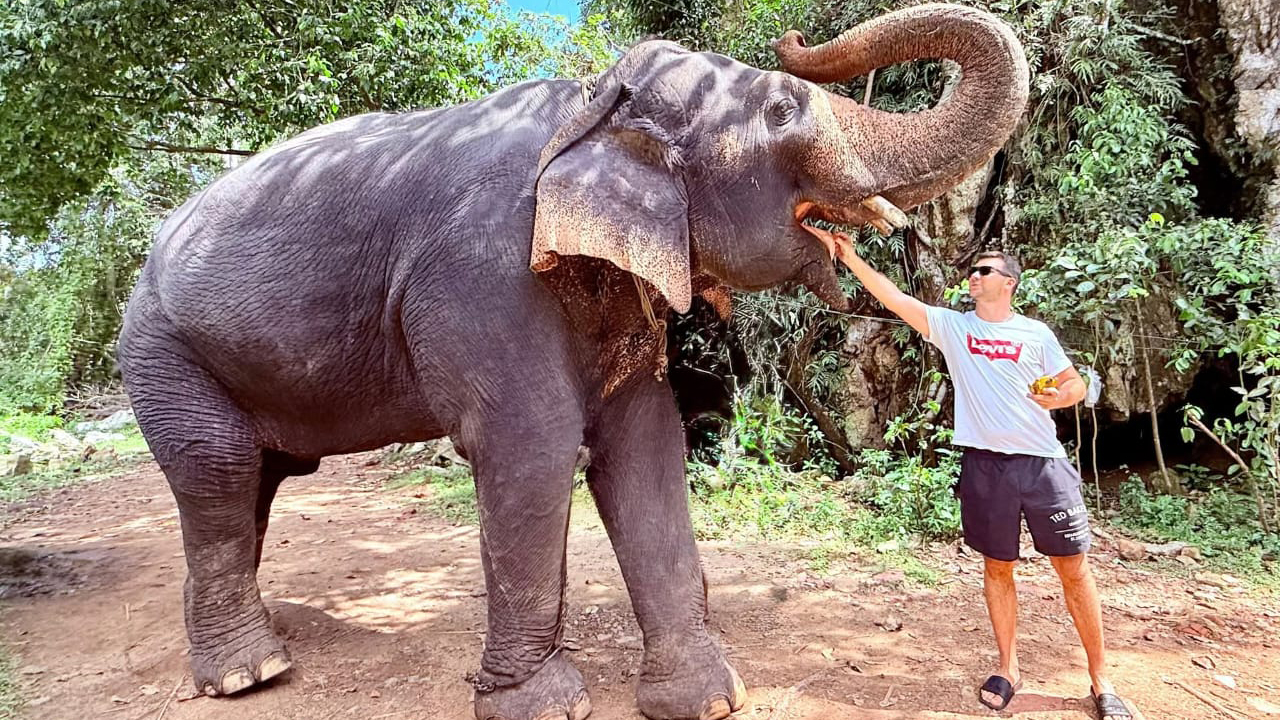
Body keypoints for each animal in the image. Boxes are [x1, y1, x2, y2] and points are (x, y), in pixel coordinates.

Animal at [116, 4, 1028, 719]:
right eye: (778, 109)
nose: (795, 34)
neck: (590, 104)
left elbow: (645, 444)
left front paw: (708, 700)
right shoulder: (481, 274)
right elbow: (533, 446)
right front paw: (545, 706)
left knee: (258, 479)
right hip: (159, 345)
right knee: (219, 469)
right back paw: (252, 674)